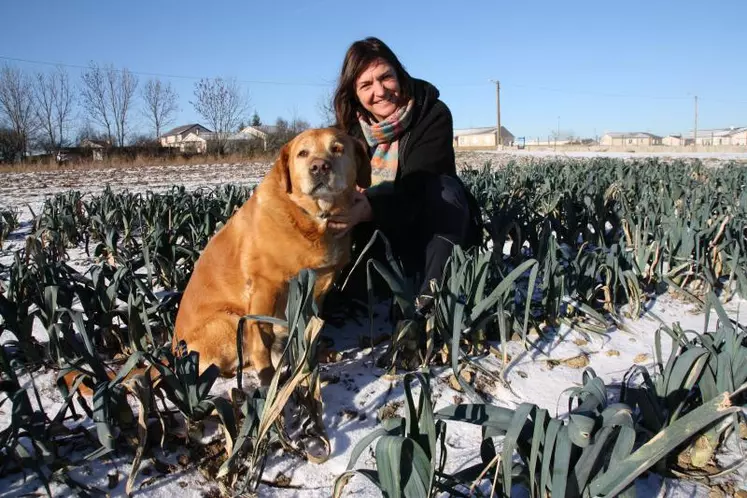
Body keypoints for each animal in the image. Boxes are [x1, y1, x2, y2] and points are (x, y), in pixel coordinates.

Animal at [169, 127, 368, 386]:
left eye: (337, 148)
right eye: (303, 153)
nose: (319, 167)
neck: (312, 219)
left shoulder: (319, 286)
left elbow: (311, 328)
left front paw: (311, 358)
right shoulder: (265, 287)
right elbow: (262, 338)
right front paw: (268, 379)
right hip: (229, 320)